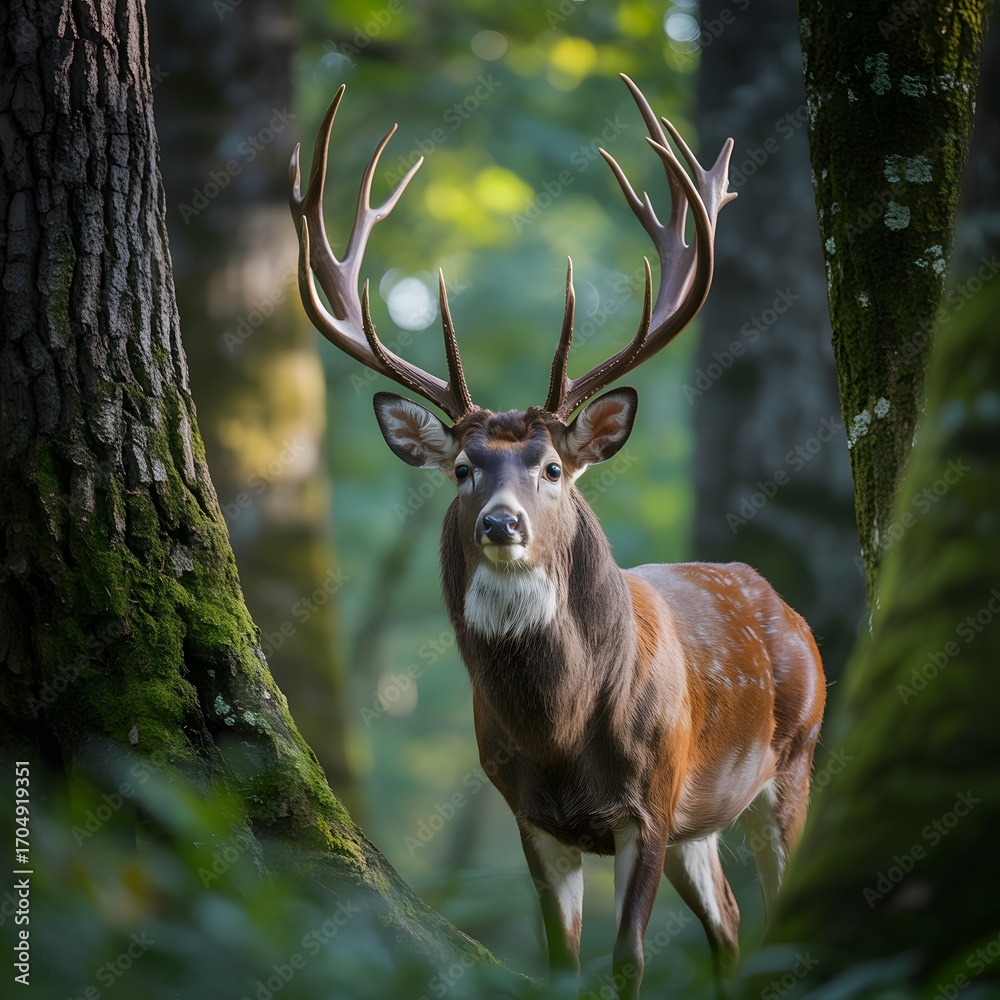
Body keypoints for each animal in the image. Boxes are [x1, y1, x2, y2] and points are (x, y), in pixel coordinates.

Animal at [289, 76, 826, 1000]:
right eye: (461, 468)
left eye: (551, 467)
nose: (502, 523)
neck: (560, 732)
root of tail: (789, 611)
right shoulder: (530, 815)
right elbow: (562, 965)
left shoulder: (650, 800)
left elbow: (628, 961)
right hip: (703, 824)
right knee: (728, 927)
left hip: (792, 757)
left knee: (775, 917)